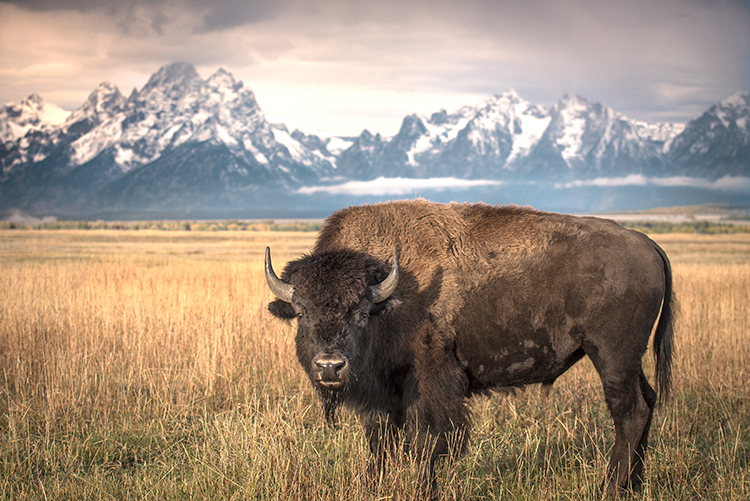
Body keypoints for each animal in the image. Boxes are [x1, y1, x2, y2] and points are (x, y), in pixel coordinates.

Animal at [264, 198, 676, 492]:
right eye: (301, 312)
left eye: (362, 313)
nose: (330, 366)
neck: (391, 295)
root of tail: (647, 243)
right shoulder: (381, 396)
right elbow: (380, 443)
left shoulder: (430, 385)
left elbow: (427, 442)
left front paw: (423, 490)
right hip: (630, 361)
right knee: (648, 401)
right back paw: (635, 485)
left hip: (612, 357)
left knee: (629, 413)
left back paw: (610, 488)